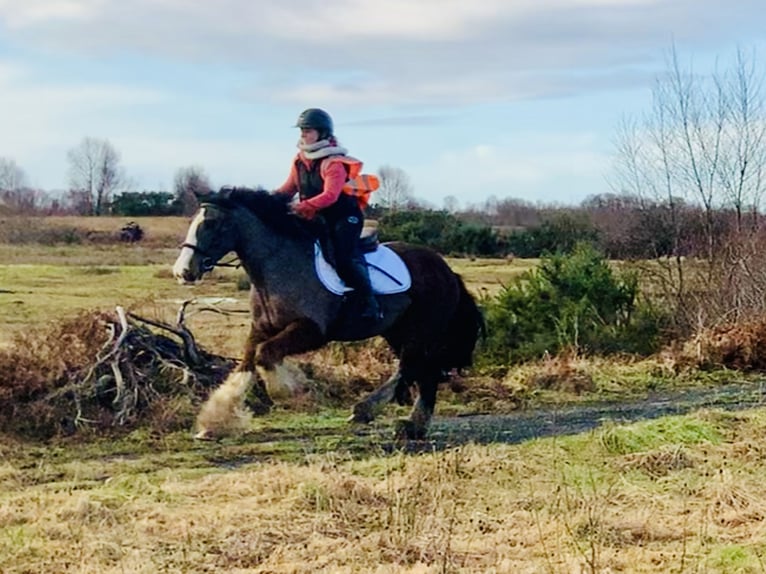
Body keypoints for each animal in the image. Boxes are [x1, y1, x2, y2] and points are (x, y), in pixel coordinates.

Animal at [174, 190, 486, 440]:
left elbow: (266, 356)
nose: (183, 271)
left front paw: (297, 390)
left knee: (421, 370)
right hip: (397, 330)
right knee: (412, 369)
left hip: (421, 330)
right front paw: (214, 422)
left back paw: (403, 422)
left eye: (211, 223)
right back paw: (380, 415)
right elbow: (247, 366)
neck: (279, 267)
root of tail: (446, 269)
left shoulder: (311, 331)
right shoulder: (260, 329)